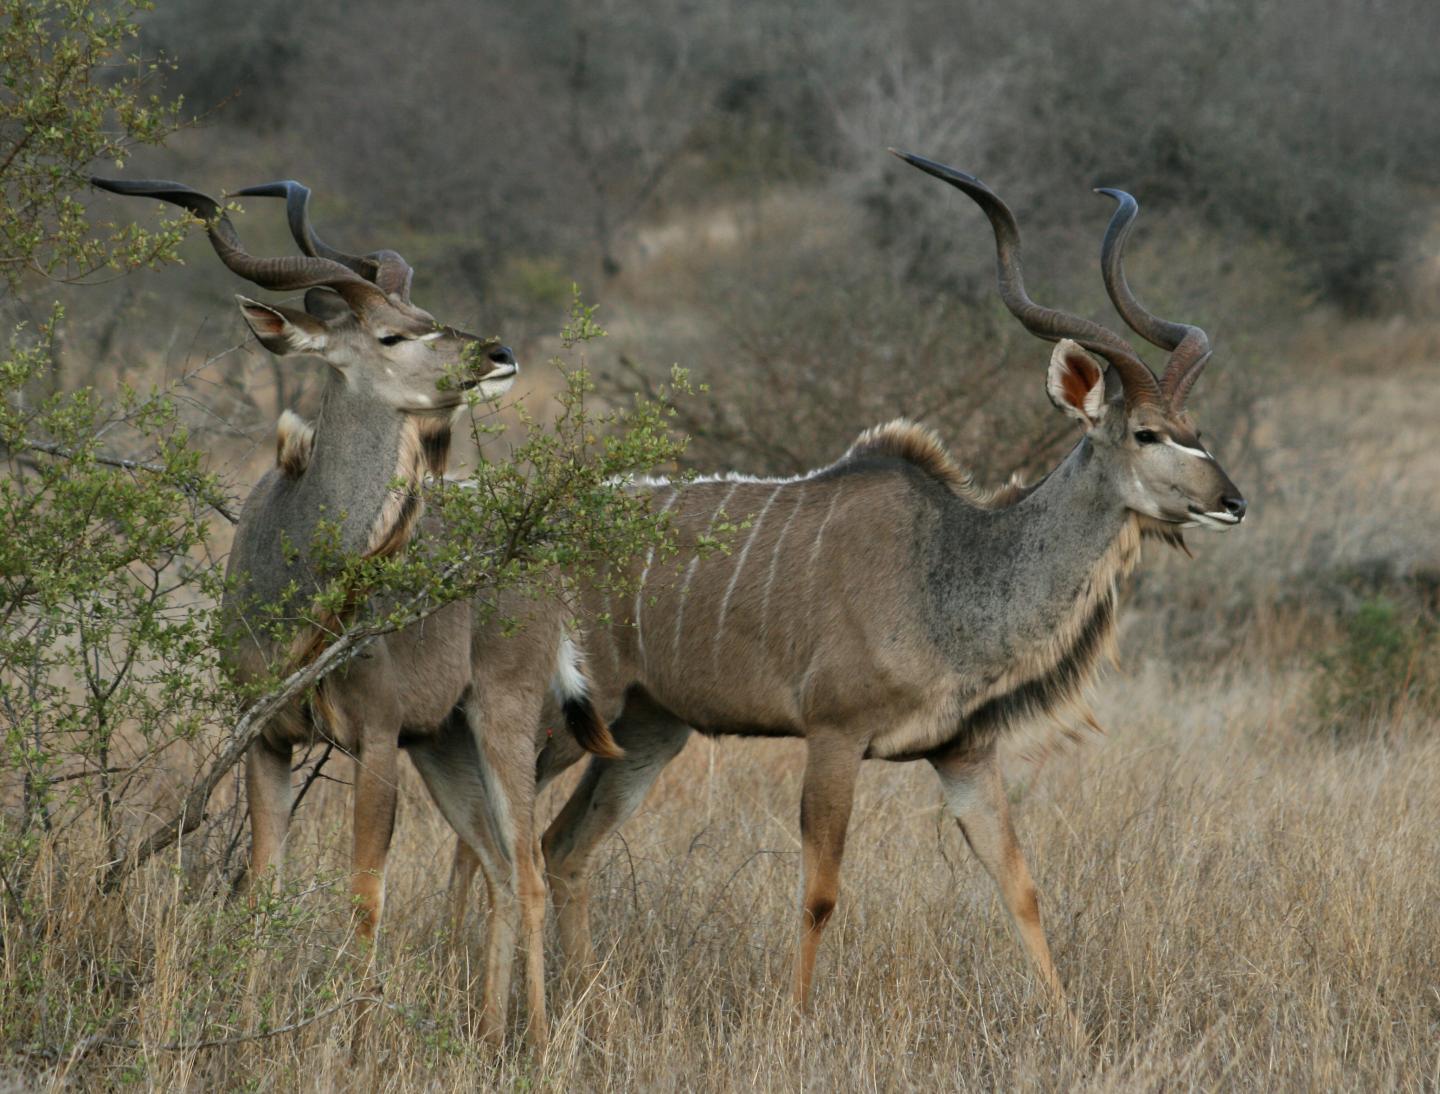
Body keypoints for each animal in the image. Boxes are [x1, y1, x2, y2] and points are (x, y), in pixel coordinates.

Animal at [95, 174, 619, 1047]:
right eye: (391, 333)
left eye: (425, 314)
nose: (497, 355)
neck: (303, 567)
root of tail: (542, 563)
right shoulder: (269, 739)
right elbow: (264, 886)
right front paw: (248, 1036)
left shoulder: (373, 739)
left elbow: (364, 894)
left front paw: (356, 1041)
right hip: (444, 744)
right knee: (499, 868)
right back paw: (488, 1032)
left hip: (501, 716)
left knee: (529, 870)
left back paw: (540, 1044)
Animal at [463, 149, 1249, 1013]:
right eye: (1146, 433)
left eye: (1196, 432)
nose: (1232, 503)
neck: (947, 568)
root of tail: (516, 542)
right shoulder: (835, 736)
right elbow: (820, 893)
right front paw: (795, 1021)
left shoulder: (964, 753)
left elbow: (1021, 888)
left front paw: (1068, 1028)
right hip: (563, 714)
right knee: (492, 840)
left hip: (644, 729)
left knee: (559, 847)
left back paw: (580, 1006)